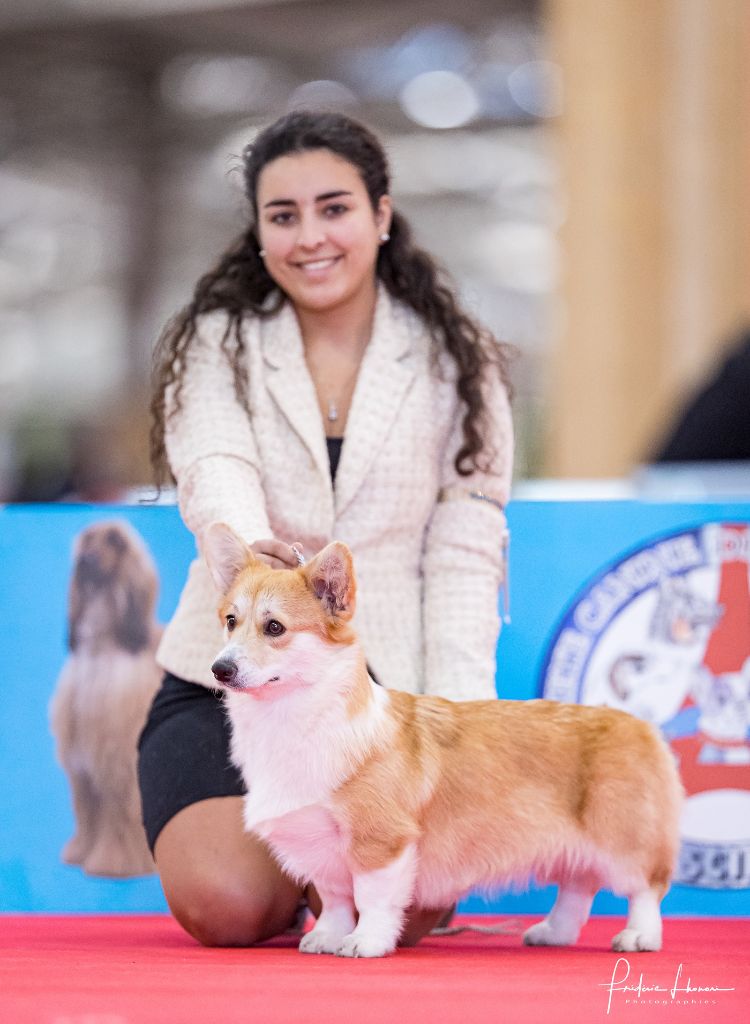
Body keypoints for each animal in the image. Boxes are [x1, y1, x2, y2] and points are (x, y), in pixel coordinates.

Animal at [201, 520, 684, 958]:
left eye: (275, 628)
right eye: (230, 621)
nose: (220, 670)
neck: (296, 718)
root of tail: (638, 724)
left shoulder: (382, 842)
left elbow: (371, 900)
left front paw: (365, 943)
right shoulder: (320, 846)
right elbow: (336, 900)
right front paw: (326, 938)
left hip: (622, 839)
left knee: (645, 888)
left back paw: (639, 936)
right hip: (575, 846)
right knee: (578, 888)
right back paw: (553, 932)